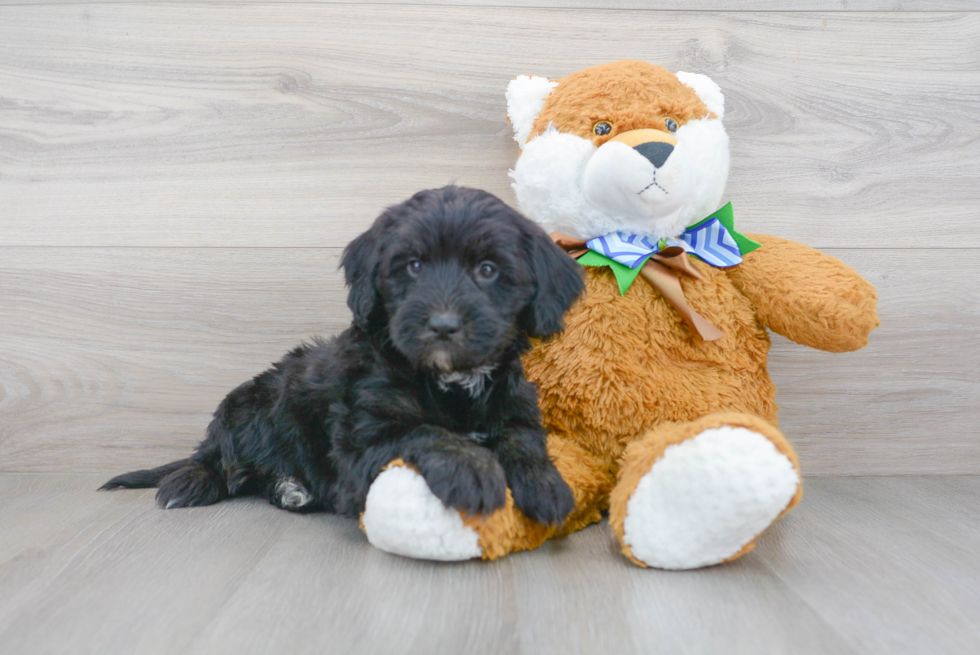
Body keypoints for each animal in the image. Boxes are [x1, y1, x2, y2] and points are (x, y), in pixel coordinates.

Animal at [103, 186, 584, 528]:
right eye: (413, 265)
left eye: (487, 270)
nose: (444, 324)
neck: (451, 379)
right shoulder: (362, 437)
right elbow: (426, 430)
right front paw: (473, 470)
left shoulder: (515, 408)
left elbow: (522, 441)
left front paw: (546, 484)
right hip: (247, 406)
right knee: (217, 456)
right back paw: (190, 481)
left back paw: (289, 488)